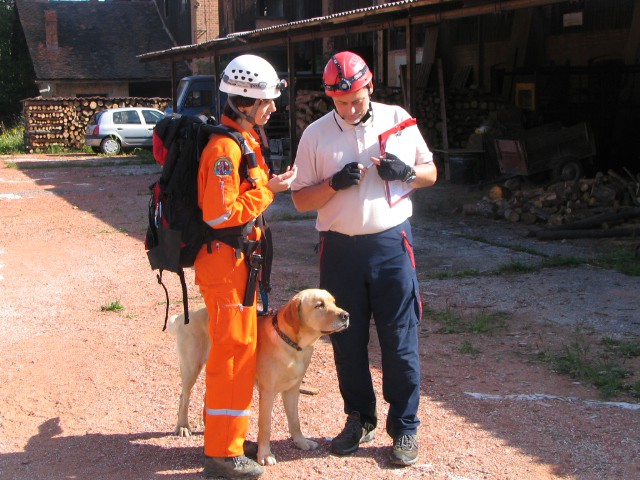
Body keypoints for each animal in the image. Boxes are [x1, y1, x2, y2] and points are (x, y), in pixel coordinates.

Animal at [162, 288, 348, 464]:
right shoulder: (268, 392)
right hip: (191, 366)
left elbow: (295, 421)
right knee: (184, 397)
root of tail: (185, 315)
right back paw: (183, 426)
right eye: (319, 305)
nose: (346, 315)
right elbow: (265, 426)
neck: (292, 345)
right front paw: (265, 455)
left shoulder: (292, 390)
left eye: (333, 302)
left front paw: (301, 442)